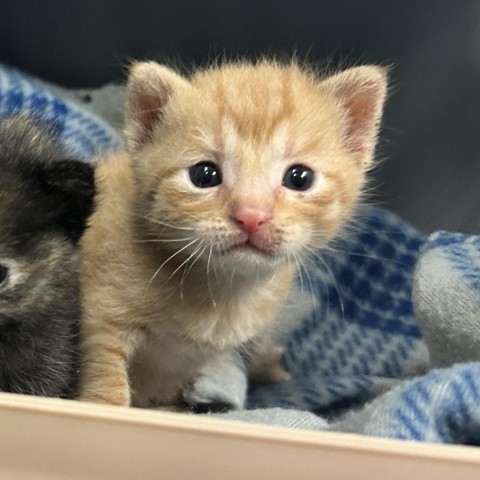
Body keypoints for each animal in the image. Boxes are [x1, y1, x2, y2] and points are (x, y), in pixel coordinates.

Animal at [78, 58, 386, 406]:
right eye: (204, 175)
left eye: (300, 178)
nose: (251, 217)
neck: (224, 291)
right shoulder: (100, 317)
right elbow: (104, 374)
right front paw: (105, 406)